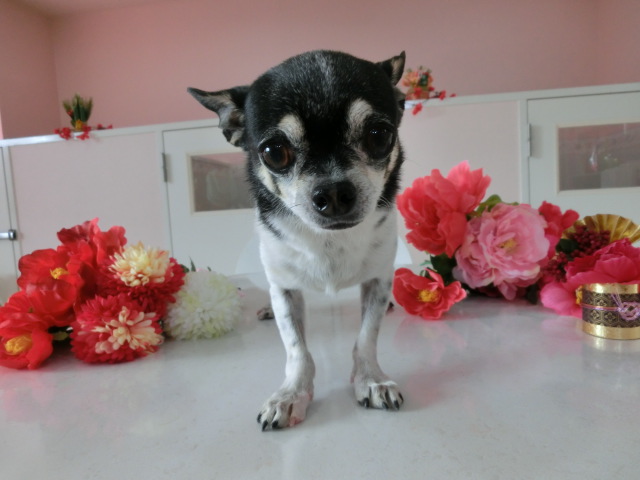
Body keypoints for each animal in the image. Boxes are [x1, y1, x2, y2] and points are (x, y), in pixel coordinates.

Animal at [188, 50, 406, 430]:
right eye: (274, 152)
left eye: (379, 135)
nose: (333, 191)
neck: (330, 241)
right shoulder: (285, 290)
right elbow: (296, 348)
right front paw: (291, 394)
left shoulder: (378, 281)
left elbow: (367, 336)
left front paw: (371, 379)